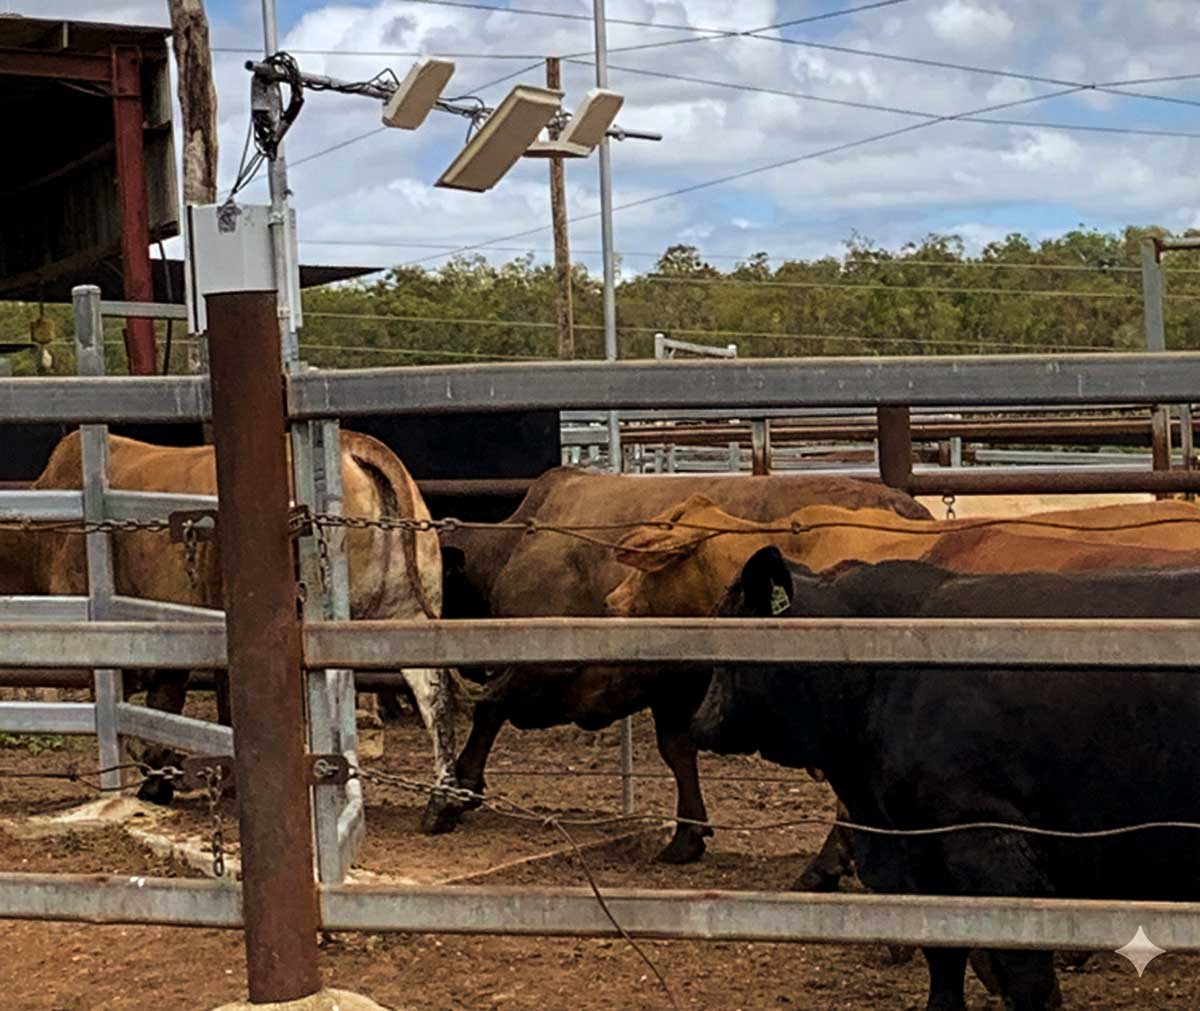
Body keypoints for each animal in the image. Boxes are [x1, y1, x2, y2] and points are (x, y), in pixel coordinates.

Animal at [434, 466, 932, 859]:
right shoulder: (667, 684)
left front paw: (453, 795)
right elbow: (678, 750)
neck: (516, 547)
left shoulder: (544, 664)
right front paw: (687, 835)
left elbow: (489, 707)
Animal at [692, 548, 1200, 1011]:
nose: (699, 723)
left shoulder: (987, 837)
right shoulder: (921, 852)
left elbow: (1025, 971)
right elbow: (943, 949)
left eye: (725, 624)